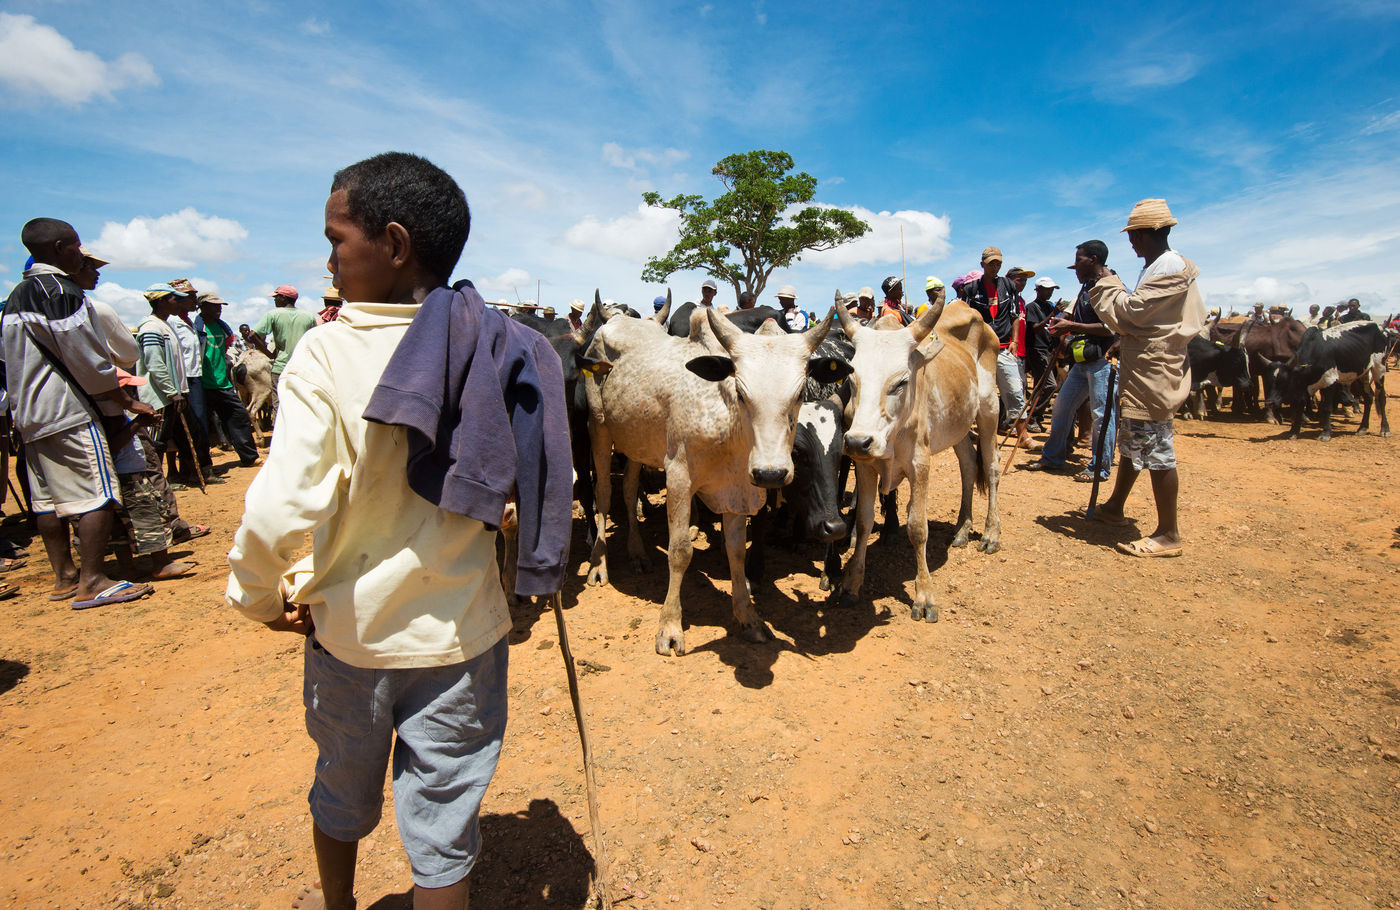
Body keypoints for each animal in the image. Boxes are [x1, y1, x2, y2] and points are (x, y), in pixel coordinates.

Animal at [576, 305, 828, 652]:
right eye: (741, 392)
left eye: (801, 393)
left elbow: (736, 552)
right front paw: (669, 628)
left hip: (636, 442)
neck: (725, 421)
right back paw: (599, 564)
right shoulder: (679, 477)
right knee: (602, 493)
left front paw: (748, 618)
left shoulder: (737, 492)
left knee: (627, 490)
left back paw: (638, 552)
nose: (771, 473)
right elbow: (680, 551)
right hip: (599, 428)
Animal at [834, 298, 1002, 624]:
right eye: (852, 378)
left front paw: (924, 596)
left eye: (901, 382)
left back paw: (990, 533)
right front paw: (850, 583)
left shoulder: (920, 465)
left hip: (989, 410)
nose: (858, 441)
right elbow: (863, 521)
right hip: (958, 426)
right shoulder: (865, 465)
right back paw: (962, 529)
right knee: (968, 466)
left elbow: (917, 528)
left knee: (991, 467)